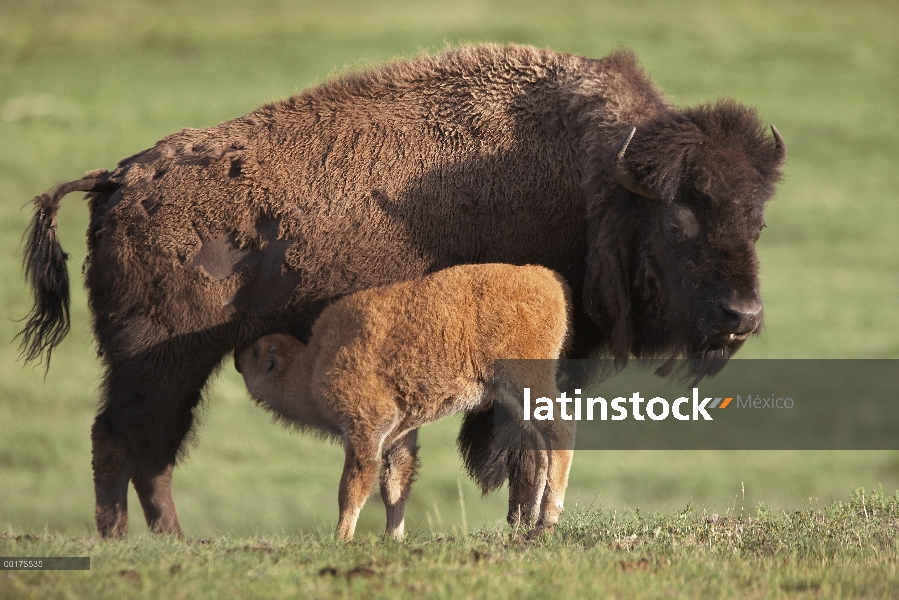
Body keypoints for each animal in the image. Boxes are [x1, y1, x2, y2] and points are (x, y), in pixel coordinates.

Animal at [232, 262, 568, 540]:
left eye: (256, 353)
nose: (237, 354)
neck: (312, 363)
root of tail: (544, 279)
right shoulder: (399, 433)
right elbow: (394, 485)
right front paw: (393, 537)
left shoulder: (365, 429)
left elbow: (353, 487)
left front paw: (341, 539)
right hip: (514, 399)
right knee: (540, 445)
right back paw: (533, 519)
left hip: (524, 380)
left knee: (559, 432)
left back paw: (548, 520)